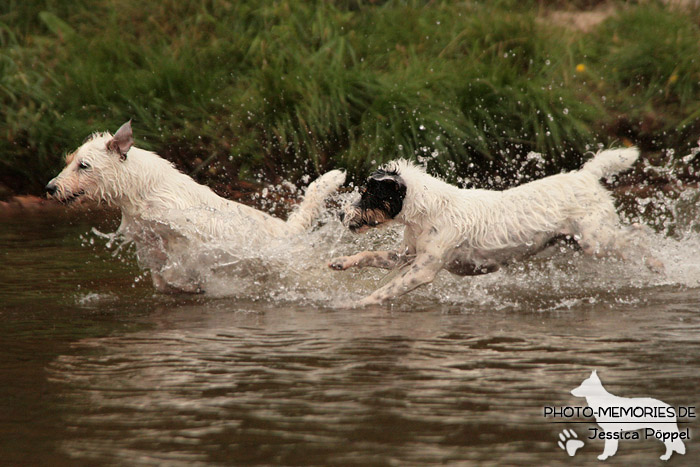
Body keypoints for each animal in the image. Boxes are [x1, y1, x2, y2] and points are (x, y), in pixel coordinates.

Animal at [46, 120, 348, 292]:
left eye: (84, 165)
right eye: (69, 160)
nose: (50, 188)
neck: (142, 190)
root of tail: (287, 231)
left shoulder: (190, 236)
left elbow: (176, 268)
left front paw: (191, 284)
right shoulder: (149, 243)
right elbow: (160, 278)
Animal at [330, 147, 664, 308]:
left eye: (368, 194)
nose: (341, 214)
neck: (428, 211)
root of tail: (586, 175)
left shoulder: (422, 270)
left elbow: (385, 291)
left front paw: (357, 304)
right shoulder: (406, 255)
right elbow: (369, 255)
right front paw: (342, 262)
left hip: (596, 241)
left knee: (638, 233)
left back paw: (658, 262)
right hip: (581, 242)